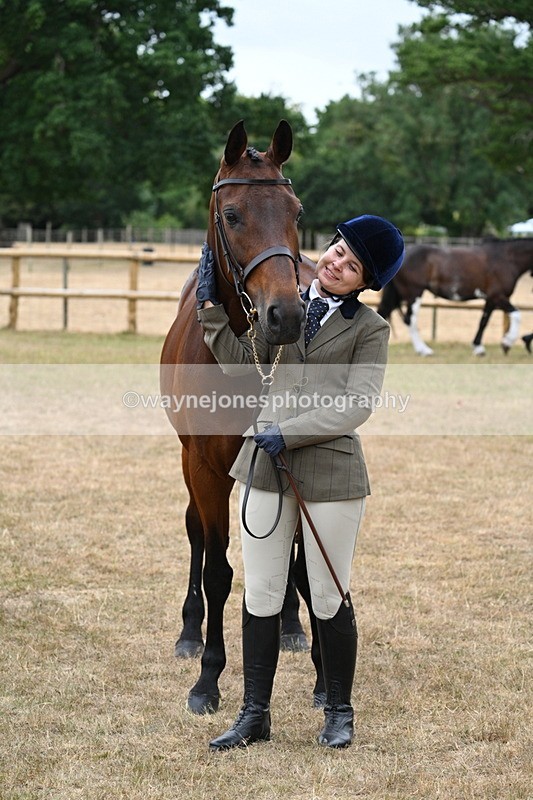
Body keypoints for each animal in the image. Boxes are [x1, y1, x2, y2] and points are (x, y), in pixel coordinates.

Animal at [160, 120, 322, 715]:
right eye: (232, 214)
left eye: (296, 211)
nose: (286, 315)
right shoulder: (206, 468)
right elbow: (217, 570)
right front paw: (207, 678)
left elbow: (296, 559)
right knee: (195, 535)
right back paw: (188, 633)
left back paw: (292, 626)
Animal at [377, 238, 533, 356]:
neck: (507, 258)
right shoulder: (498, 296)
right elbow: (517, 314)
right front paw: (507, 342)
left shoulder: (491, 299)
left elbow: (483, 321)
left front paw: (478, 347)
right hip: (414, 293)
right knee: (410, 320)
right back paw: (424, 350)